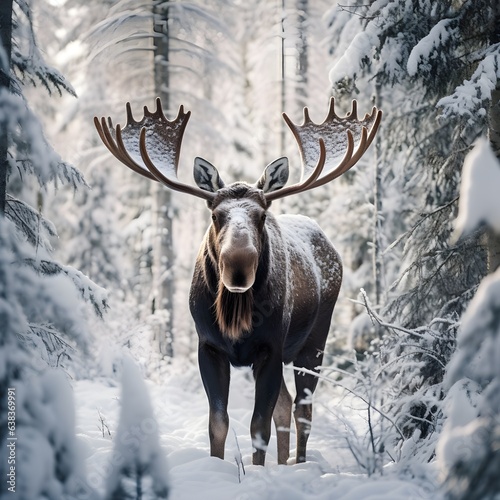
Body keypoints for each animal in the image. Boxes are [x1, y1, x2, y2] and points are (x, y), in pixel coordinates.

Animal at [94, 97, 382, 464]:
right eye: (216, 215)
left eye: (261, 215)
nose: (238, 267)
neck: (236, 317)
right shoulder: (209, 346)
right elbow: (219, 422)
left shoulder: (271, 347)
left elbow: (259, 425)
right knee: (285, 405)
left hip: (314, 341)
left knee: (303, 410)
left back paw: (299, 463)